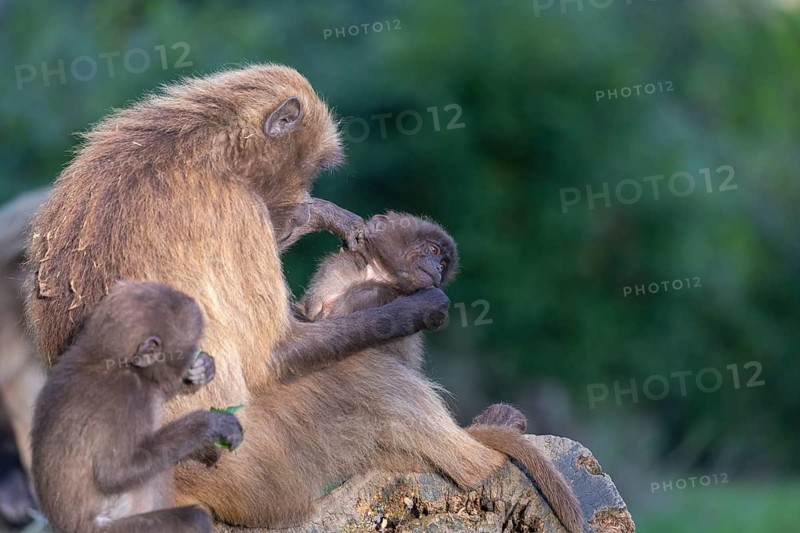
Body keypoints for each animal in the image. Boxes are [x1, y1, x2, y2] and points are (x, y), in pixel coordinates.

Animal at [31, 281, 243, 533]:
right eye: (190, 347)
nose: (195, 356)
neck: (110, 360)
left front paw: (203, 368)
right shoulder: (127, 399)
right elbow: (113, 473)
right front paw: (209, 425)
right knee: (190, 515)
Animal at [295, 211, 584, 532]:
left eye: (444, 264)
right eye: (433, 251)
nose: (436, 268)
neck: (373, 275)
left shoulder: (377, 294)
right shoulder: (337, 270)